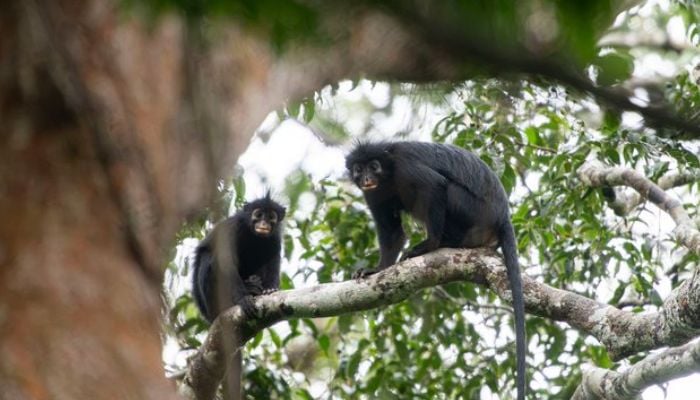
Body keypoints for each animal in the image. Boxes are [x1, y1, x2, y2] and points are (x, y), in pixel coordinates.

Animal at [192, 194, 286, 323]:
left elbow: (273, 259)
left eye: (271, 217)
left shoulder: (275, 237)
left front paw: (270, 288)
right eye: (258, 215)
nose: (263, 223)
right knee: (207, 257)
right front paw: (243, 299)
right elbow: (225, 261)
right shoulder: (233, 228)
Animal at [346, 141, 526, 400]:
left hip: (473, 211)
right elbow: (392, 232)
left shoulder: (405, 166)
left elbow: (435, 186)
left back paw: (442, 243)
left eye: (374, 166)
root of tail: (502, 215)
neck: (388, 174)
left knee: (447, 189)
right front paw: (376, 270)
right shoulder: (373, 193)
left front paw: (429, 245)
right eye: (359, 169)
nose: (367, 177)